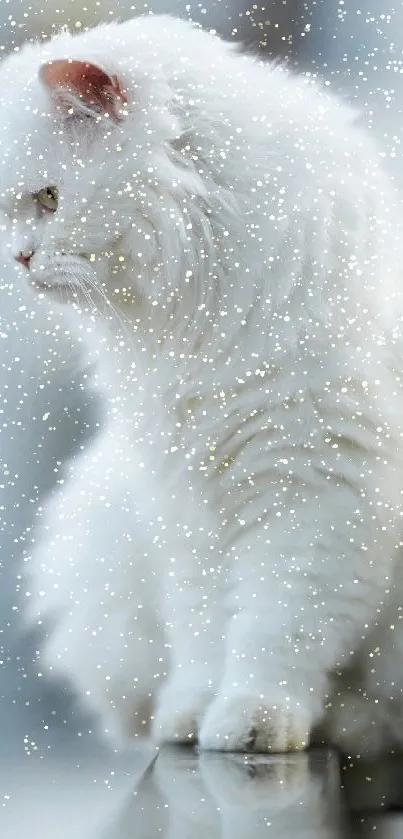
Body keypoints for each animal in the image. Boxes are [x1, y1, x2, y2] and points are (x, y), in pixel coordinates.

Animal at [2, 14, 403, 756]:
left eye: (47, 199)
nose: (17, 259)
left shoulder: (314, 482)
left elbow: (277, 626)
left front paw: (254, 719)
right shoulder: (187, 497)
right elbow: (204, 628)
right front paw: (190, 715)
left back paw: (353, 724)